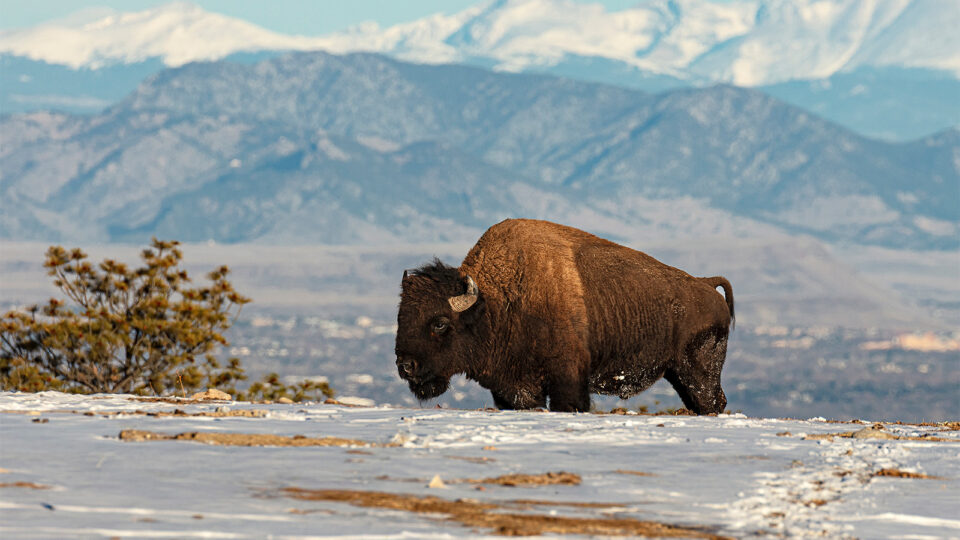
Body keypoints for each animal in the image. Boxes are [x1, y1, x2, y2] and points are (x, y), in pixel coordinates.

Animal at [395, 219, 734, 414]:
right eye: (400, 318)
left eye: (440, 323)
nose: (406, 366)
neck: (495, 302)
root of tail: (706, 284)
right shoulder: (515, 389)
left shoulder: (567, 382)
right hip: (678, 374)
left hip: (698, 371)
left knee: (711, 401)